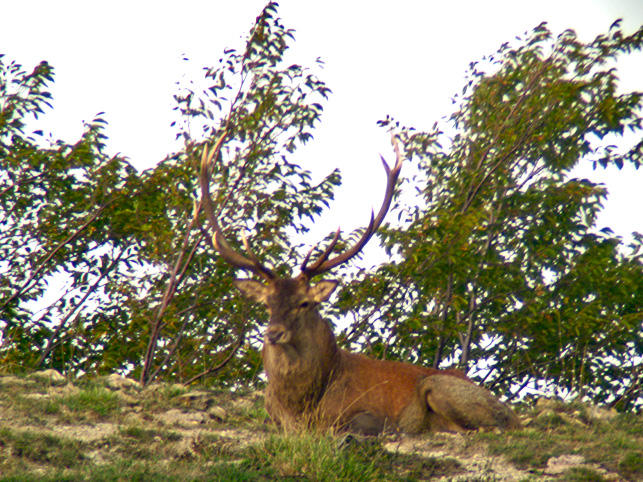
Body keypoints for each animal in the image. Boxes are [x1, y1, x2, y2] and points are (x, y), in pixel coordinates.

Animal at [199, 134, 520, 434]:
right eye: (267, 303)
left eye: (304, 303)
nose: (274, 333)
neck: (301, 407)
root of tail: (511, 412)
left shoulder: (367, 412)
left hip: (439, 385)